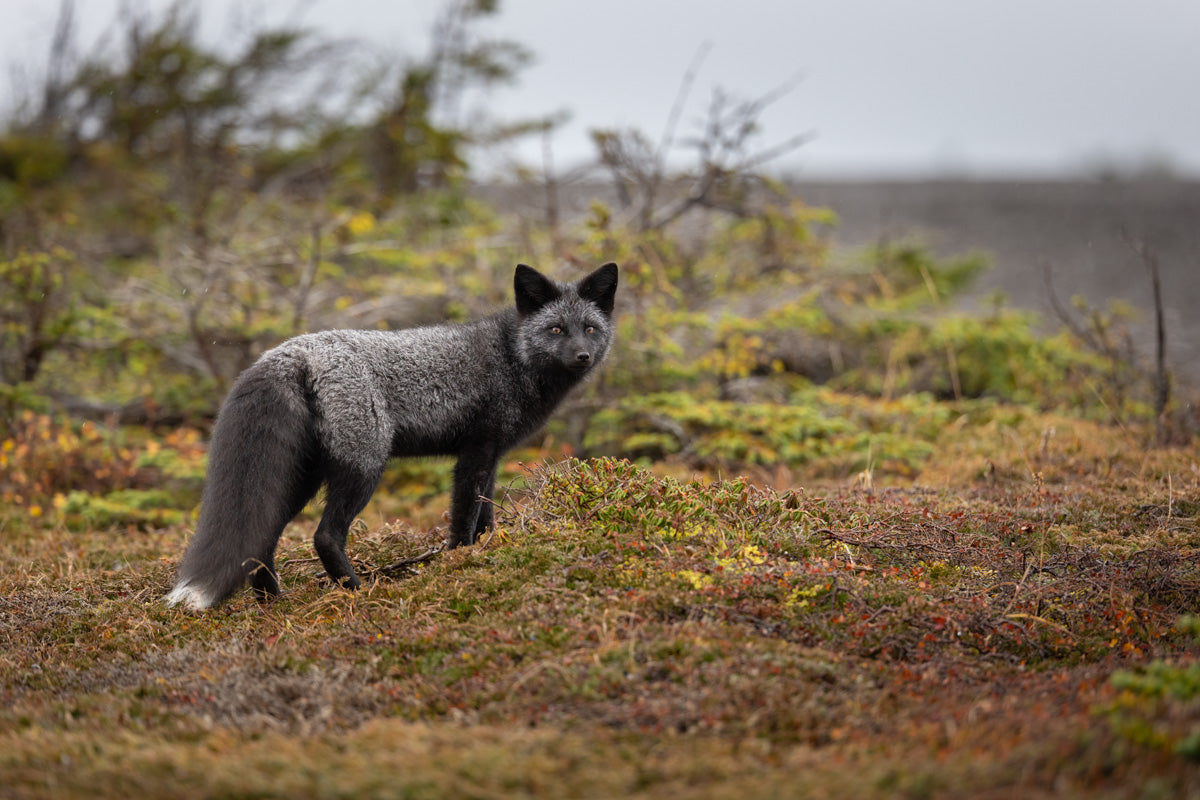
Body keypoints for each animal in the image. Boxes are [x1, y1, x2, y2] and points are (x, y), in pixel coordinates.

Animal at [165, 262, 618, 610]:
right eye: (556, 330)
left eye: (590, 329)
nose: (583, 357)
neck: (513, 357)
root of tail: (292, 352)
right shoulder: (475, 453)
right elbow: (464, 520)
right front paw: (459, 567)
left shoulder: (491, 455)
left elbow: (486, 518)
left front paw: (489, 552)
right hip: (364, 466)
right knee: (324, 536)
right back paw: (356, 592)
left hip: (301, 477)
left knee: (261, 540)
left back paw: (272, 603)